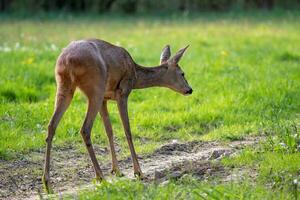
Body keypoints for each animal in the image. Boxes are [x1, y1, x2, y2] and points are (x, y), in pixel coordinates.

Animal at [41, 39, 192, 192]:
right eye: (182, 73)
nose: (189, 90)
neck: (135, 74)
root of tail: (67, 60)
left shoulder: (105, 99)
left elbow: (109, 130)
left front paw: (117, 170)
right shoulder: (122, 92)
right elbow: (127, 130)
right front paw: (138, 172)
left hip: (64, 85)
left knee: (51, 125)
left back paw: (47, 184)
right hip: (95, 87)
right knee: (85, 129)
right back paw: (100, 177)